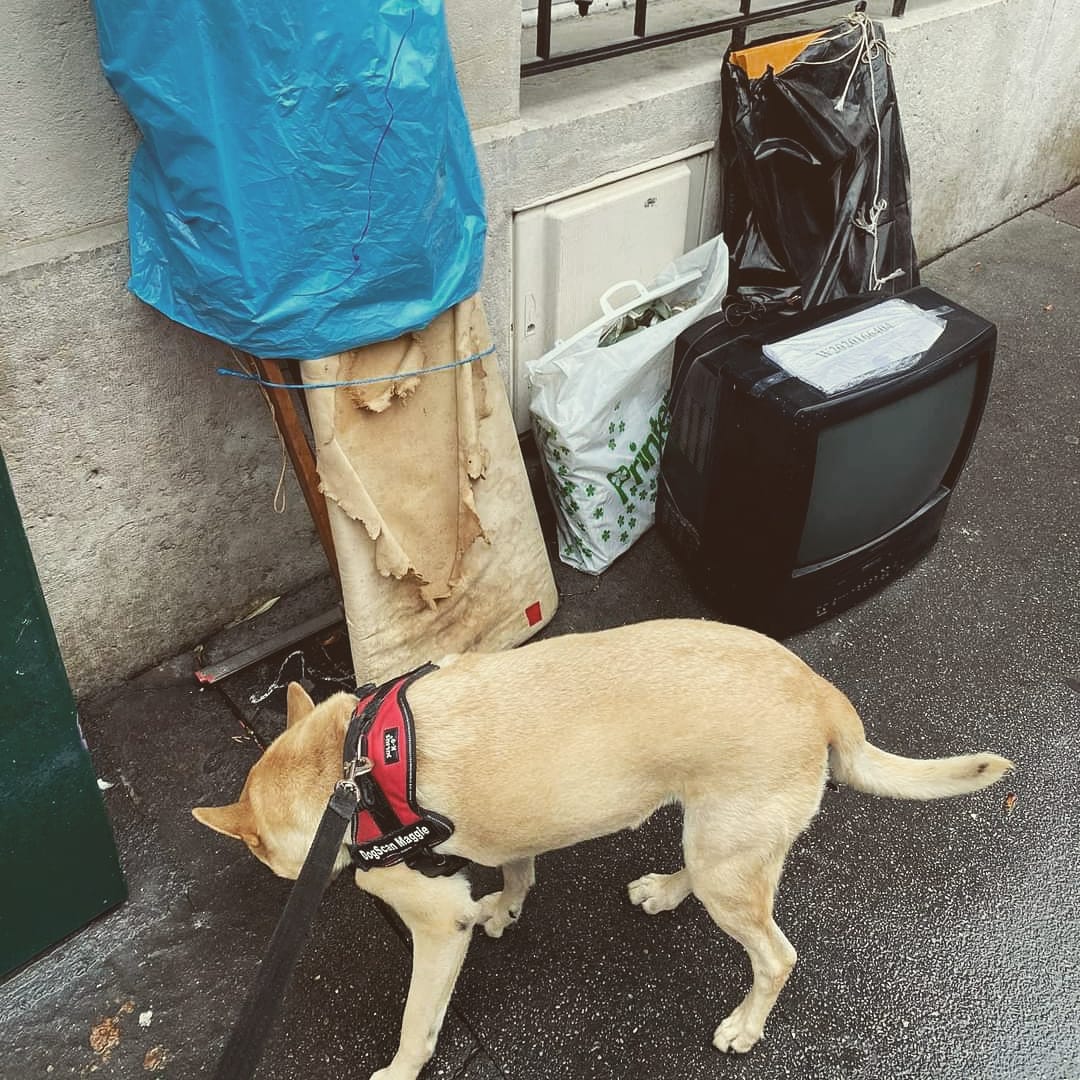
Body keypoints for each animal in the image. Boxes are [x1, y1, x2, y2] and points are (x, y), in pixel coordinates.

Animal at [194, 622, 1010, 1075]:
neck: (345, 761)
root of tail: (819, 692)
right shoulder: (517, 829)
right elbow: (517, 870)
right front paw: (507, 905)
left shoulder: (433, 925)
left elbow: (416, 1025)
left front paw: (397, 1071)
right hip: (715, 838)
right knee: (703, 874)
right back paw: (665, 890)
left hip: (728, 863)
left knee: (776, 957)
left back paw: (746, 1024)